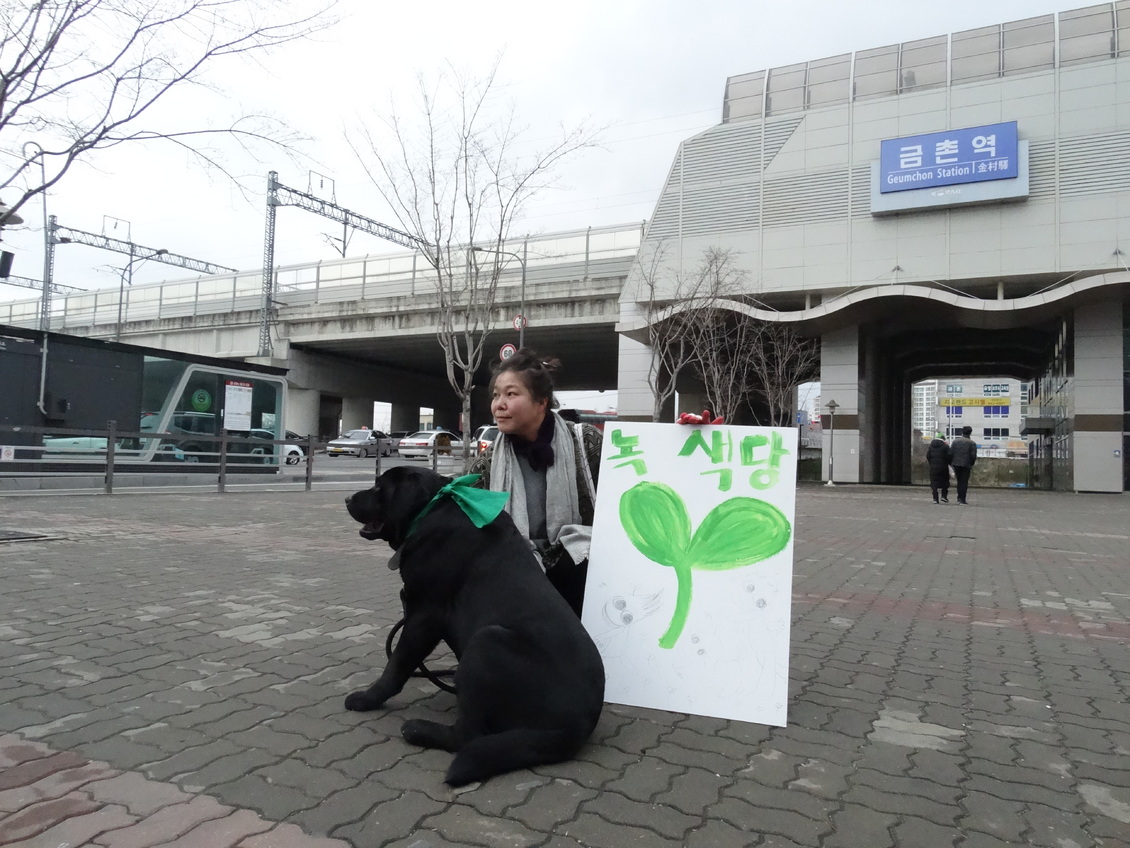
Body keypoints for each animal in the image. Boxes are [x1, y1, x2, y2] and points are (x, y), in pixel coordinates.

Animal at [343, 468, 610, 786]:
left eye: (378, 488)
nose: (347, 498)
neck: (433, 507)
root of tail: (579, 725)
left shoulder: (424, 614)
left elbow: (397, 663)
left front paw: (367, 698)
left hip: (486, 641)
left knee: (467, 735)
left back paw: (418, 729)